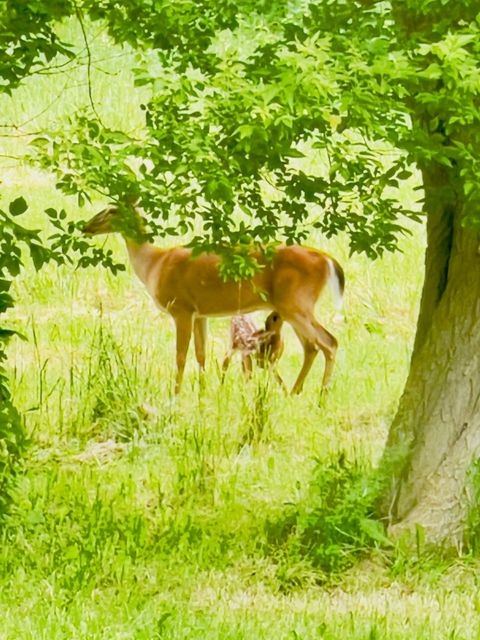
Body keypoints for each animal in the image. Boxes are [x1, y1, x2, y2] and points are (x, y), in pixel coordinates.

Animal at [83, 205, 344, 396]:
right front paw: (203, 394)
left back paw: (321, 397)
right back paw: (295, 392)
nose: (87, 226)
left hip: (296, 303)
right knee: (312, 346)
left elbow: (180, 356)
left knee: (328, 342)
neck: (154, 265)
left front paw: (175, 395)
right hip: (293, 307)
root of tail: (327, 259)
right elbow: (201, 354)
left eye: (112, 210)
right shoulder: (200, 313)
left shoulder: (181, 308)